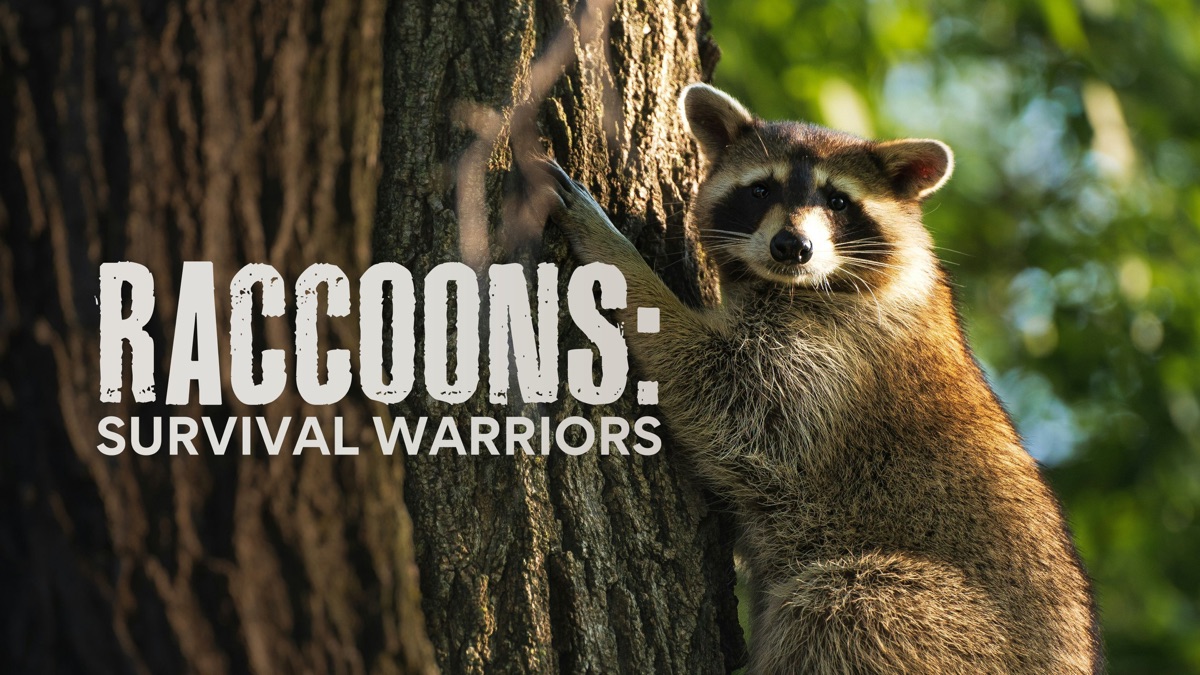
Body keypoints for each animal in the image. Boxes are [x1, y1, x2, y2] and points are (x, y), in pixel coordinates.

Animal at [539, 83, 1101, 674]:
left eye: (838, 202)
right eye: (761, 189)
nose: (792, 247)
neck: (799, 283)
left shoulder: (841, 353)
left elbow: (726, 393)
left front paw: (622, 263)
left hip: (948, 625)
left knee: (851, 603)